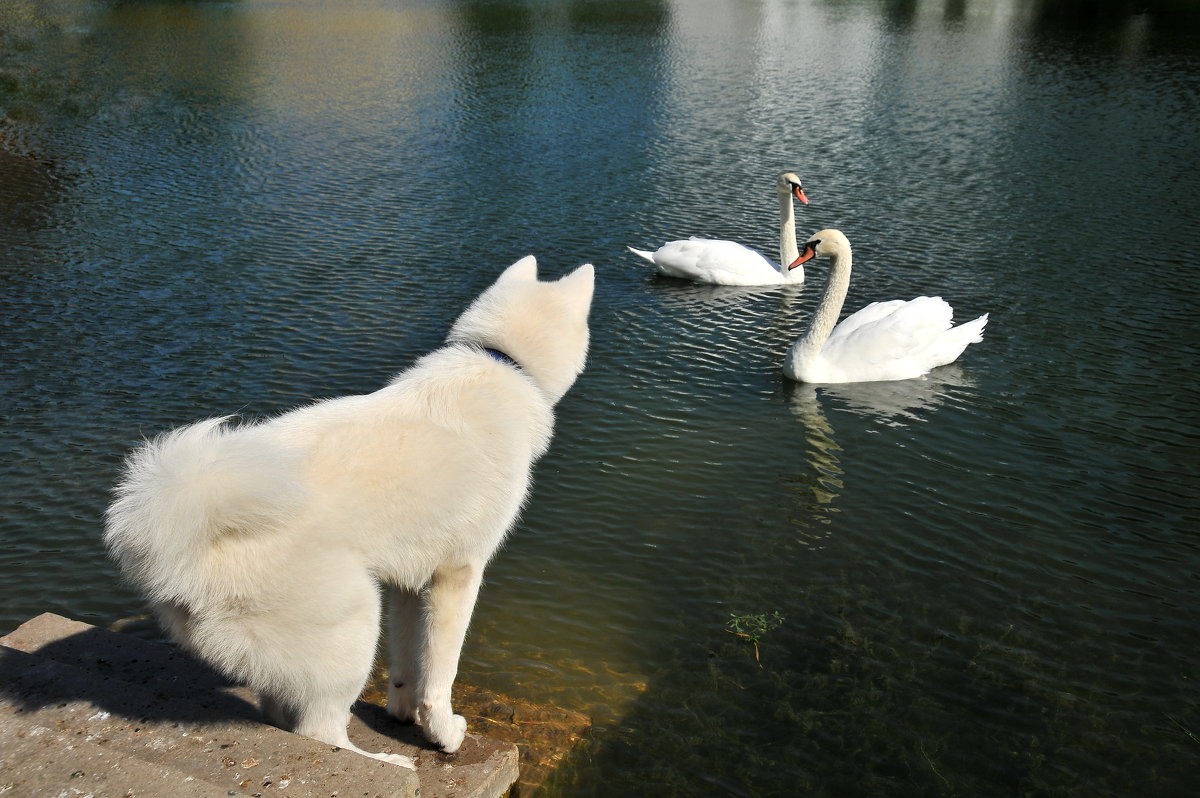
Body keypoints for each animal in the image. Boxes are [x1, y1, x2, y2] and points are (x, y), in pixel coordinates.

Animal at [104, 255, 595, 768]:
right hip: (354, 623)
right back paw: (387, 764)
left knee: (283, 717)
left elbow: (406, 665)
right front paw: (443, 734)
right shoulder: (457, 575)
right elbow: (439, 676)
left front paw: (401, 714)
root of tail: (176, 538)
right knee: (321, 732)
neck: (501, 362)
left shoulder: (408, 581)